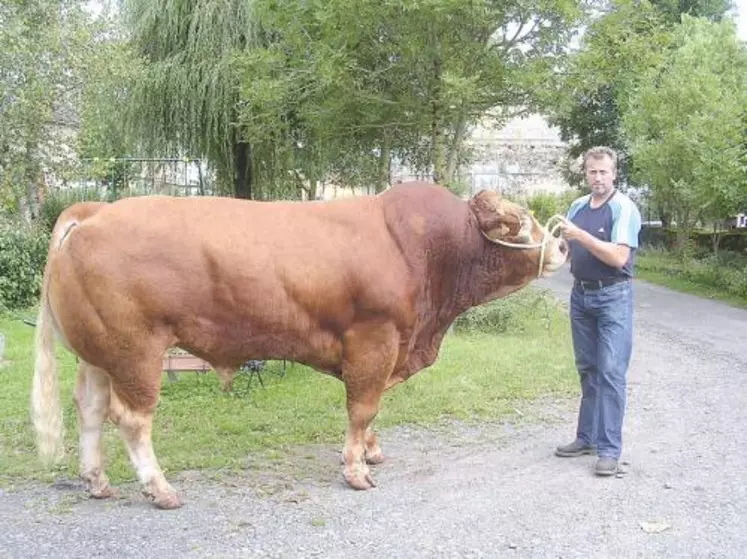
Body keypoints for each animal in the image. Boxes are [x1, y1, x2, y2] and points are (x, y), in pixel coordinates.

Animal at [30, 182, 568, 510]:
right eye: (519, 224)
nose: (562, 246)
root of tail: (95, 212)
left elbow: (371, 410)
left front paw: (370, 452)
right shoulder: (374, 339)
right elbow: (363, 407)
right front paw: (356, 469)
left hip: (99, 353)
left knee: (91, 409)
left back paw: (97, 481)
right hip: (136, 351)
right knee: (132, 419)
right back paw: (160, 489)